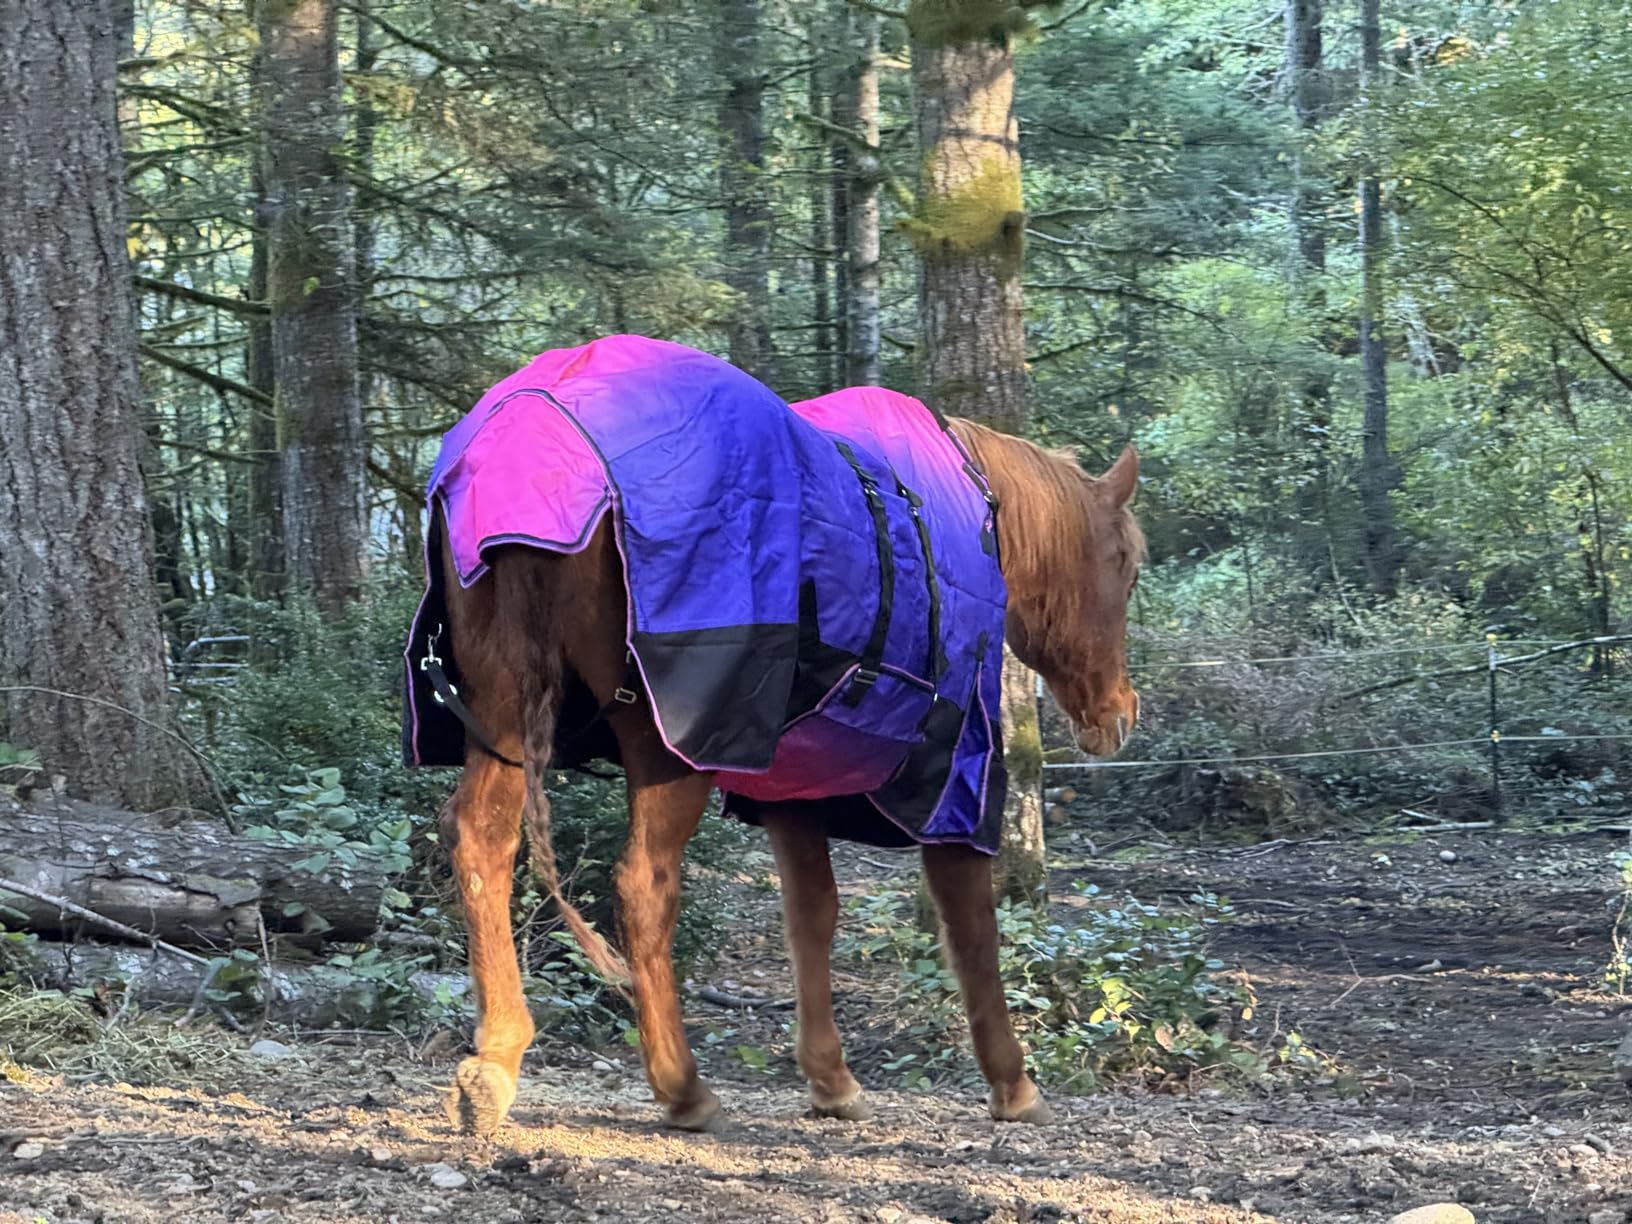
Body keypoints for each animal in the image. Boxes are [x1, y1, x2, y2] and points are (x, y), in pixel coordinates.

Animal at [403, 337, 1143, 1135]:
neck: (973, 516)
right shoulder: (954, 773)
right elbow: (972, 925)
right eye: (1127, 567)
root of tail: (533, 437)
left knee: (482, 842)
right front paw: (1012, 1082)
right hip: (670, 742)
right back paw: (682, 1087)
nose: (1120, 713)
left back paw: (497, 1057)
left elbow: (811, 914)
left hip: (504, 714)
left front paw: (830, 1077)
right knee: (642, 886)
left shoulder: (793, 782)